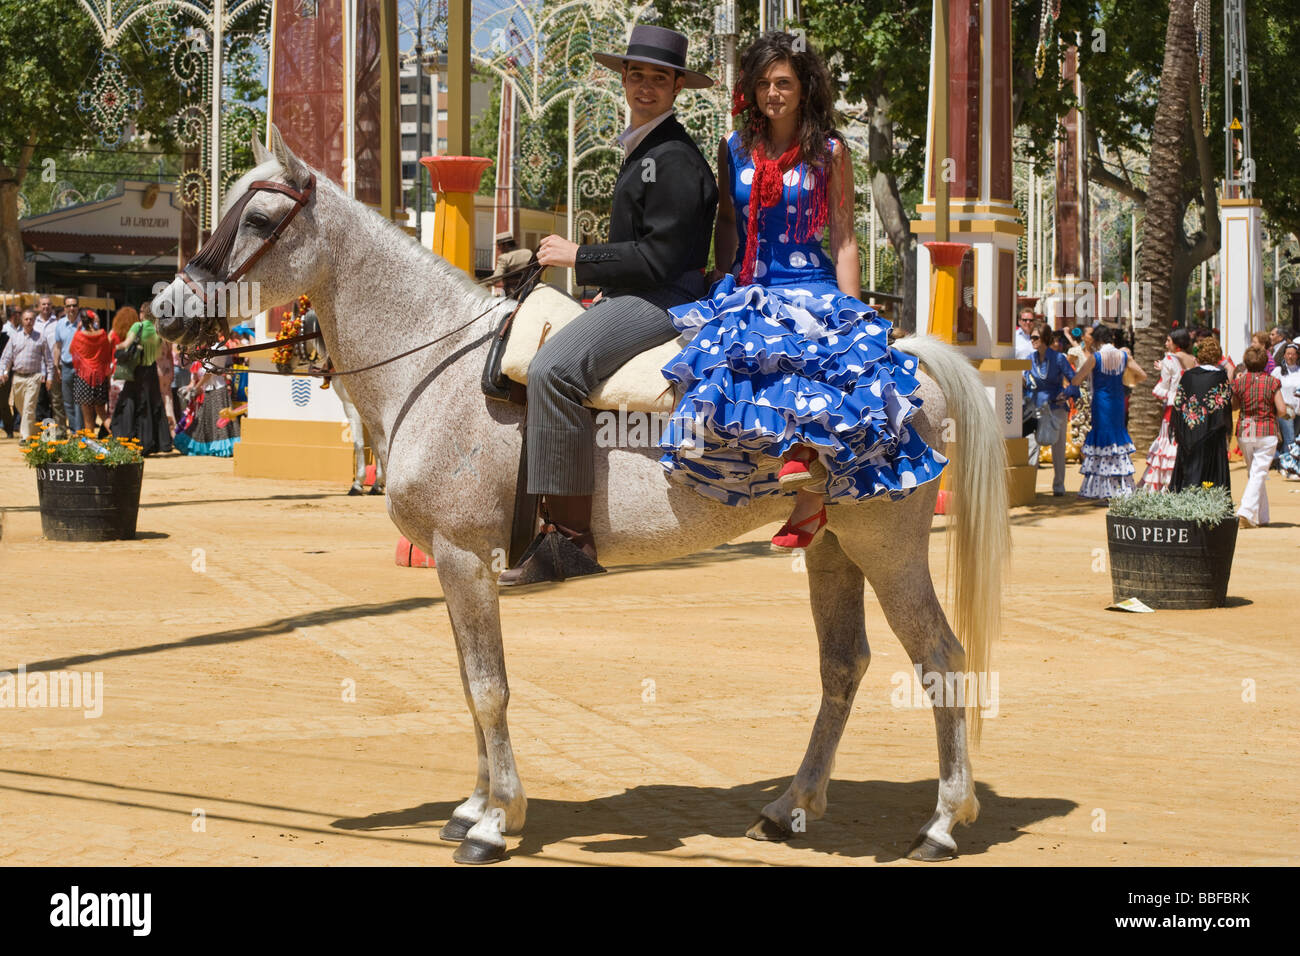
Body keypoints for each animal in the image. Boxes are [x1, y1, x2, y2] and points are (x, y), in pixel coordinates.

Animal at [157, 127, 1008, 868]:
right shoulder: (454, 566)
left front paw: (493, 821)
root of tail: (901, 354)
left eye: (258, 218)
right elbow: (470, 683)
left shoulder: (465, 558)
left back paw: (941, 823)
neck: (434, 358)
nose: (168, 310)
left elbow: (488, 689)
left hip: (885, 547)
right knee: (843, 667)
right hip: (832, 546)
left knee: (941, 658)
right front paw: (475, 805)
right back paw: (789, 807)